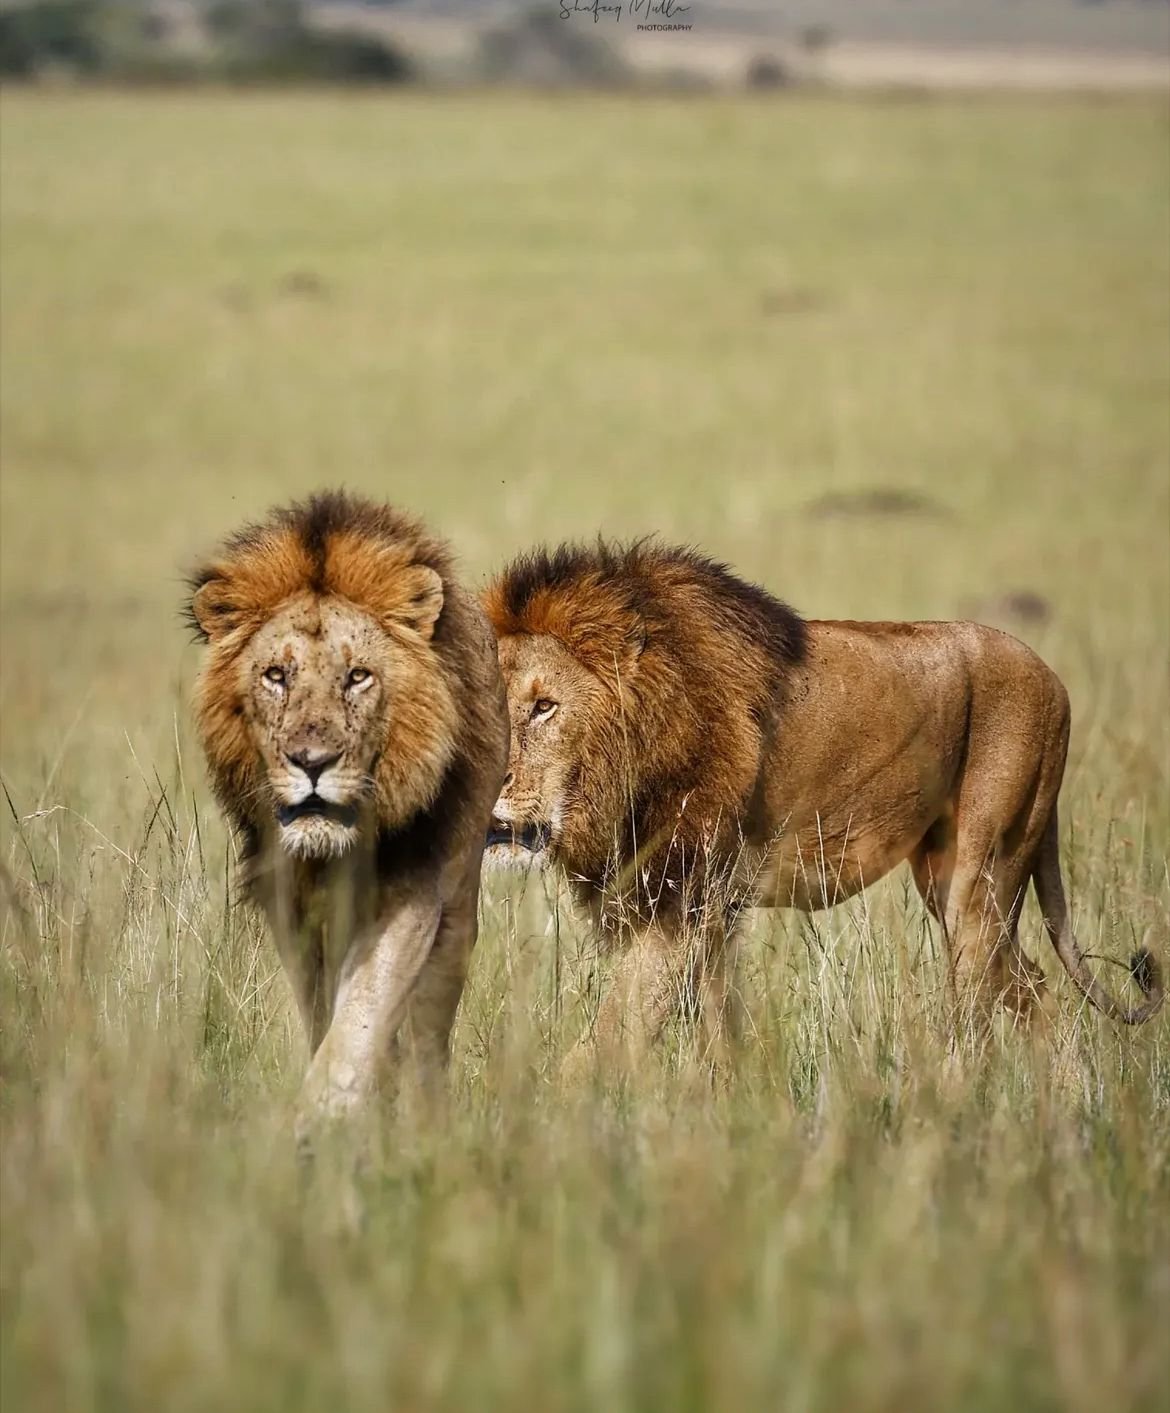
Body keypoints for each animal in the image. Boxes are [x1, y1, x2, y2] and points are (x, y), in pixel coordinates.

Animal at [187, 491, 507, 1135]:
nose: (313, 762)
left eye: (357, 676)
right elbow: (325, 1013)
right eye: (276, 676)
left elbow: (361, 1015)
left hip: (459, 910)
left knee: (429, 1027)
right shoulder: (289, 905)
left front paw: (322, 1120)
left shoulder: (414, 890)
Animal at [483, 540, 1162, 1072]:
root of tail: (1049, 673)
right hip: (946, 878)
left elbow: (607, 1039)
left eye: (544, 707)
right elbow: (714, 1028)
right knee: (1030, 985)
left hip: (983, 874)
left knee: (977, 1004)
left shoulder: (681, 903)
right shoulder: (703, 910)